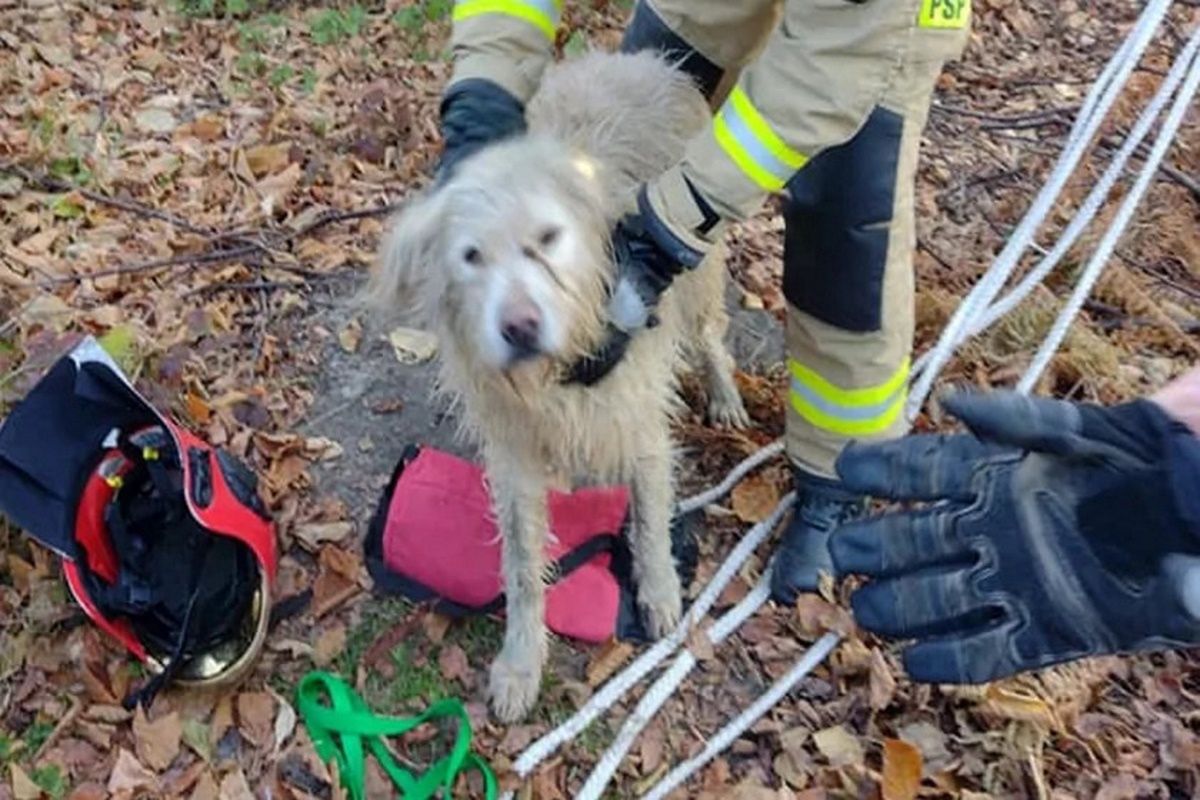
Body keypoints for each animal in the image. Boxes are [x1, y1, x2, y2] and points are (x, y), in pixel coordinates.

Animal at [364, 50, 744, 724]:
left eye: (548, 238)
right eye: (471, 256)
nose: (519, 327)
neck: (559, 373)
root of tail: (645, 61)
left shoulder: (640, 426)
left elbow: (651, 523)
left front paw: (660, 592)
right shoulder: (514, 454)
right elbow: (520, 565)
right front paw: (521, 661)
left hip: (698, 279)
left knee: (709, 335)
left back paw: (723, 392)